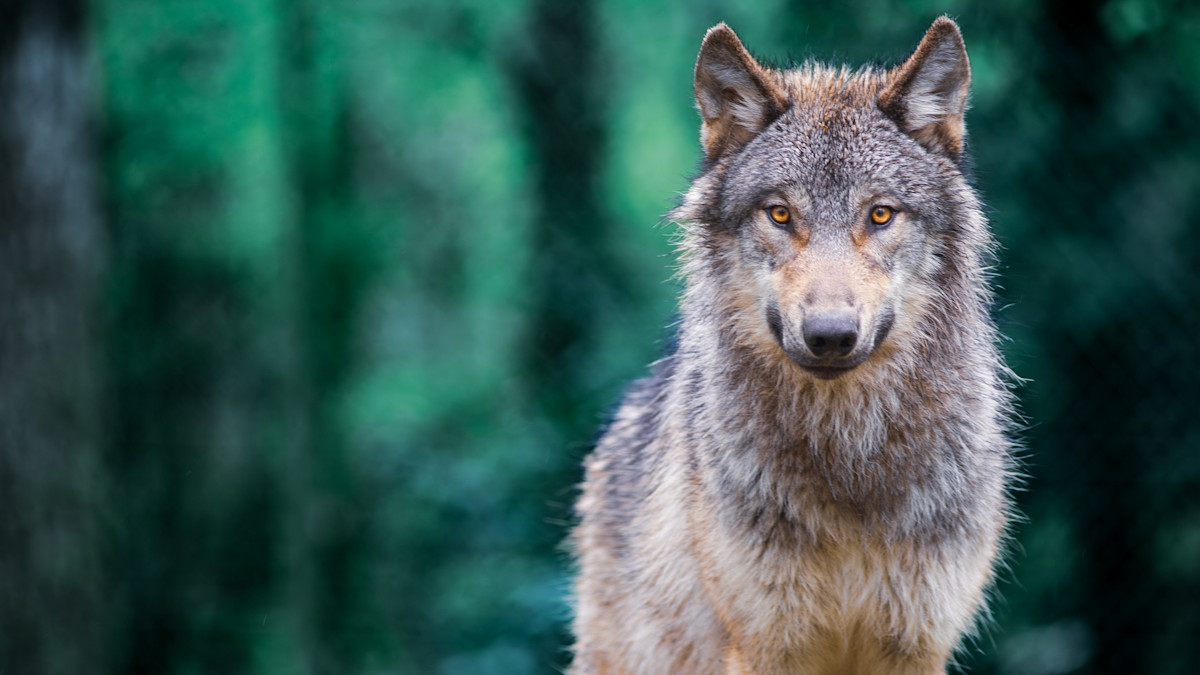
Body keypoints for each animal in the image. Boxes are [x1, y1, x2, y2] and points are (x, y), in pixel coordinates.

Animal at [569, 17, 1015, 675]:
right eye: (780, 214)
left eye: (880, 215)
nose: (829, 335)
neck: (847, 462)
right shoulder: (765, 645)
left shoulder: (916, 644)